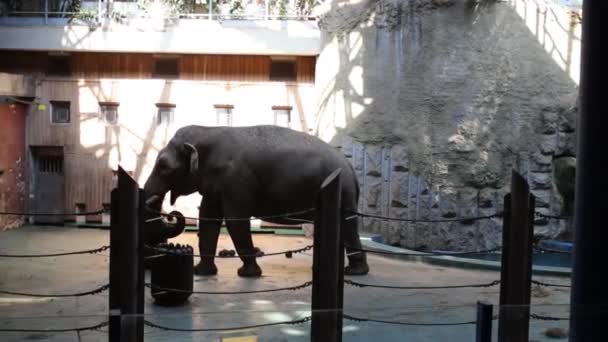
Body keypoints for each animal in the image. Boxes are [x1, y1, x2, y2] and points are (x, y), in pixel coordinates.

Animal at [144, 125, 370, 278]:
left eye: (163, 166)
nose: (171, 214)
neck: (207, 131)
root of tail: (350, 167)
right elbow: (208, 218)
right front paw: (200, 272)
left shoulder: (235, 180)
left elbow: (235, 220)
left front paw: (247, 273)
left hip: (342, 192)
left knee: (347, 226)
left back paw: (354, 272)